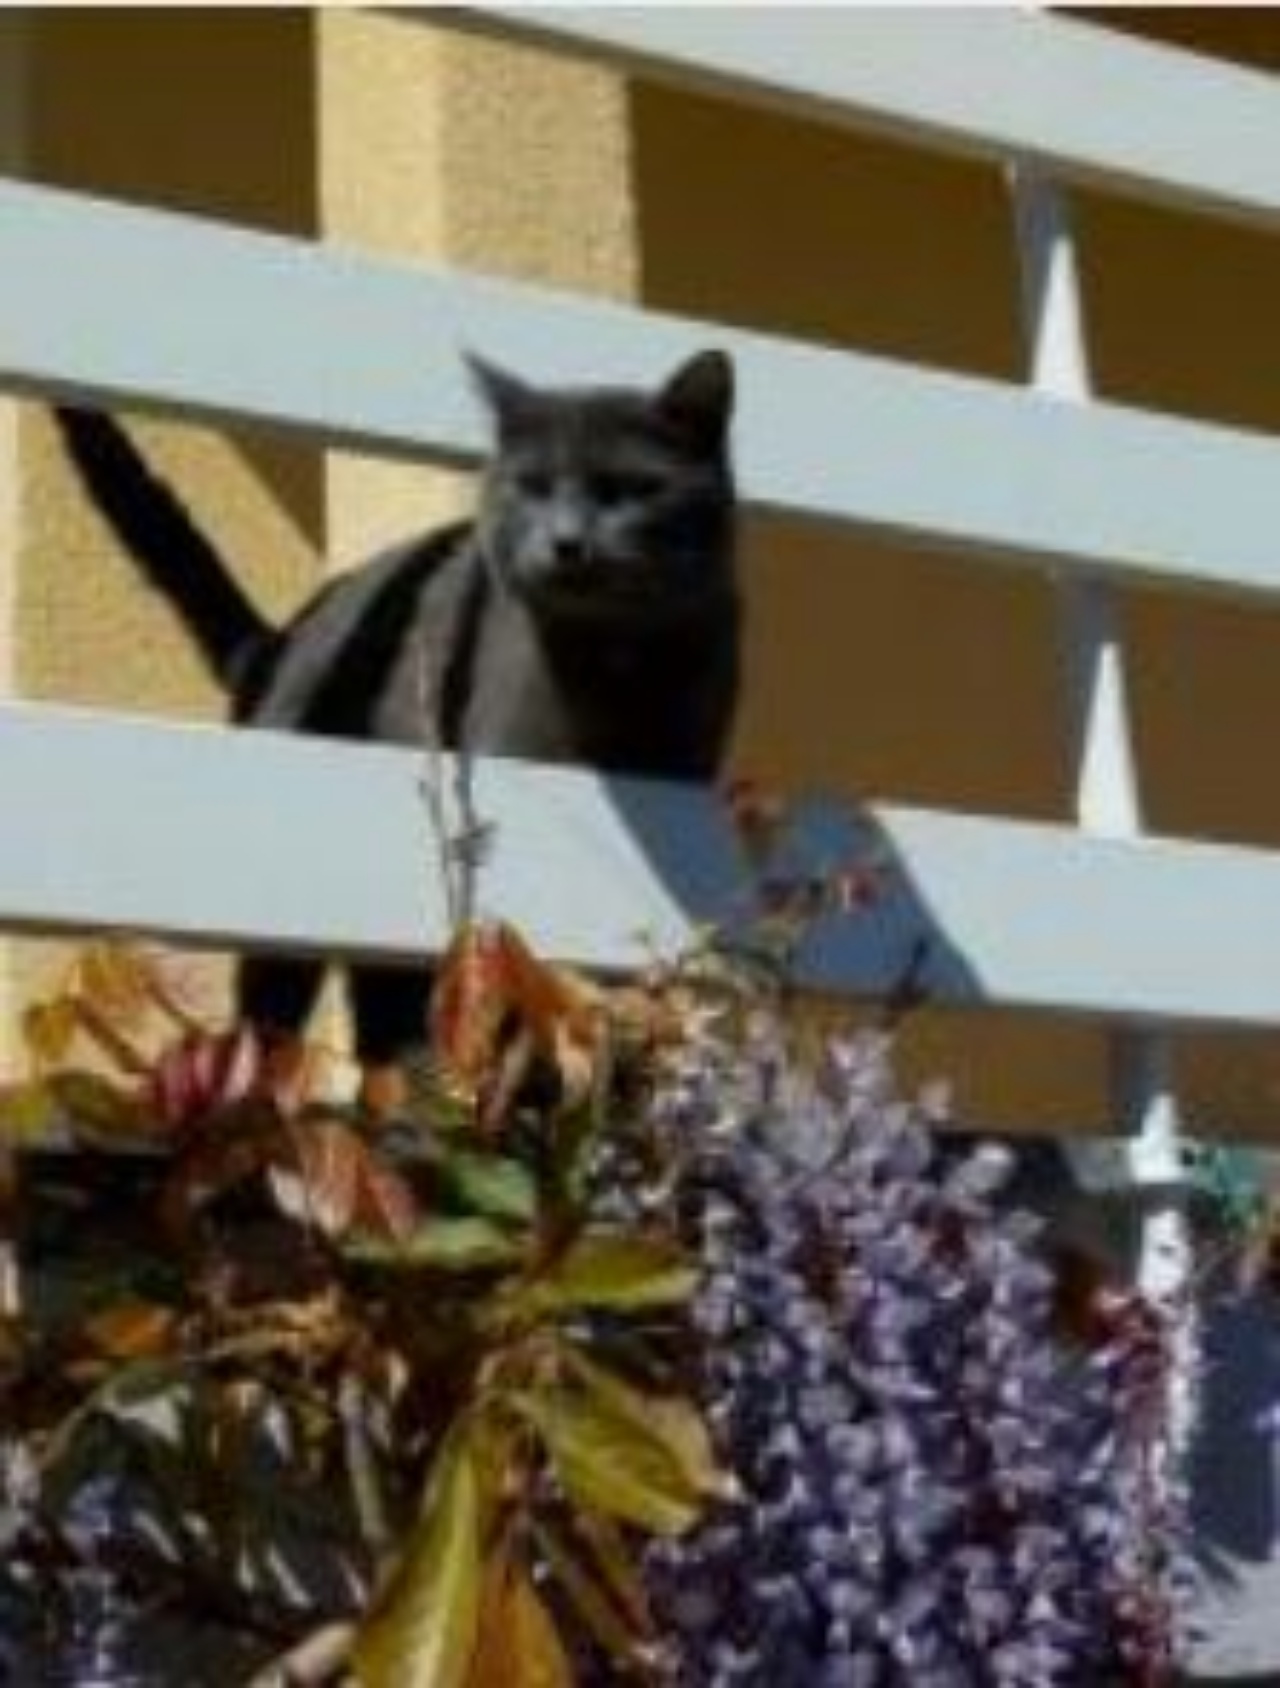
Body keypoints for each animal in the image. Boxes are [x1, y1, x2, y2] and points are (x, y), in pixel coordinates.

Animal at [57, 349, 743, 1060]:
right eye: (532, 486)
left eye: (625, 489)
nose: (566, 538)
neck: (614, 659)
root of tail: (278, 641)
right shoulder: (512, 754)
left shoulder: (680, 781)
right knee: (275, 1010)